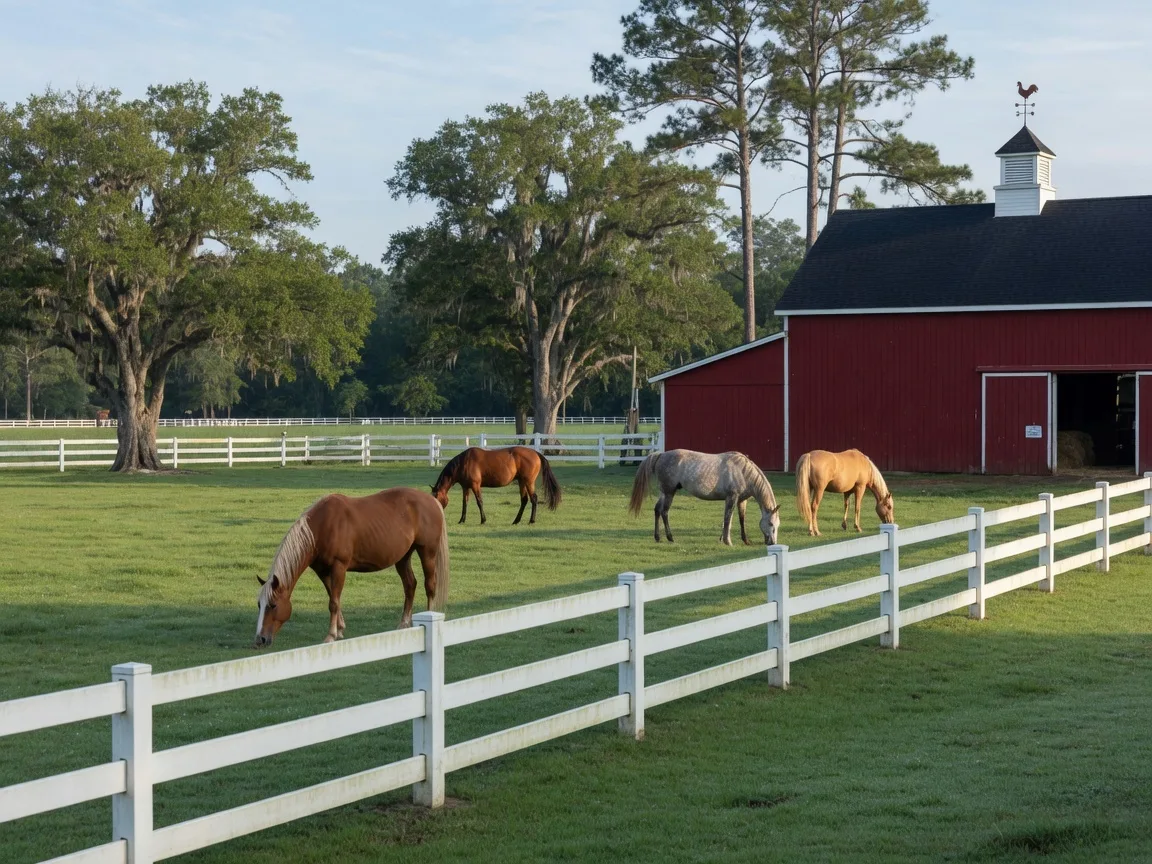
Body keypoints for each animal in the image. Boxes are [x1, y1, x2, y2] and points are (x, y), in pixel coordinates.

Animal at [254, 487, 450, 648]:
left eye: (272, 605)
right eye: (259, 605)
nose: (260, 640)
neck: (321, 527)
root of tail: (432, 500)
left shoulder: (339, 567)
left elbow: (333, 602)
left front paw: (331, 635)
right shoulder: (323, 572)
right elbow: (334, 598)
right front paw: (340, 629)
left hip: (427, 552)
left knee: (429, 586)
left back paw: (429, 613)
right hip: (403, 558)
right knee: (410, 586)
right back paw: (403, 624)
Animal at [431, 445, 561, 525]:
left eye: (436, 497)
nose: (435, 512)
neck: (464, 462)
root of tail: (535, 453)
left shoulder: (475, 485)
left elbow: (479, 501)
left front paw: (483, 520)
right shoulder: (466, 487)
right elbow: (465, 503)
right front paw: (462, 520)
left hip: (528, 482)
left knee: (534, 499)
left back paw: (531, 520)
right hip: (522, 482)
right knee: (524, 500)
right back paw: (516, 521)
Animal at [628, 449, 781, 546]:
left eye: (777, 525)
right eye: (770, 524)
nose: (772, 543)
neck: (742, 471)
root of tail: (661, 454)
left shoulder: (741, 500)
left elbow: (739, 519)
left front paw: (744, 540)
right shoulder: (732, 497)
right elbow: (728, 519)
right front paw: (728, 541)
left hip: (664, 492)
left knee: (657, 510)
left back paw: (658, 537)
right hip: (670, 492)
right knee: (664, 512)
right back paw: (670, 538)